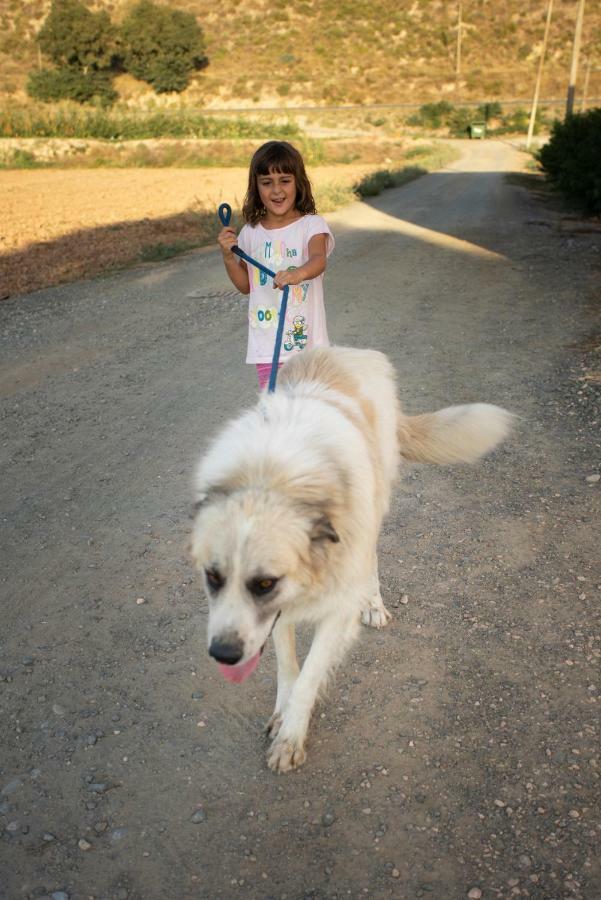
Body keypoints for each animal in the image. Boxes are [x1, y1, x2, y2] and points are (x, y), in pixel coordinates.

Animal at [191, 348, 510, 768]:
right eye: (212, 577)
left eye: (264, 583)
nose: (223, 655)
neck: (274, 479)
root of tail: (347, 351)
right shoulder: (277, 615)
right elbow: (287, 666)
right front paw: (282, 714)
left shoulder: (336, 607)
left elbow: (309, 676)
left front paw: (291, 736)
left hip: (373, 509)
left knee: (370, 562)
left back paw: (373, 603)